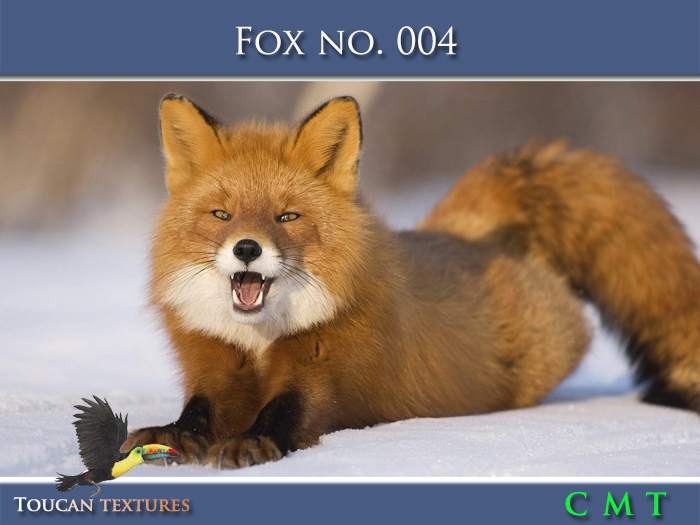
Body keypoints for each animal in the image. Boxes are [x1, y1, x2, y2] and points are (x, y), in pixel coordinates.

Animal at [123, 94, 700, 469]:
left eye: (287, 217)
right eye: (221, 215)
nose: (247, 247)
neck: (261, 340)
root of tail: (464, 234)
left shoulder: (329, 368)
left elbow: (287, 411)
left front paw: (254, 442)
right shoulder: (215, 363)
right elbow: (198, 411)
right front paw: (172, 437)